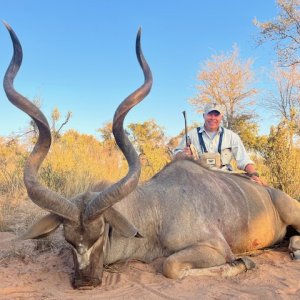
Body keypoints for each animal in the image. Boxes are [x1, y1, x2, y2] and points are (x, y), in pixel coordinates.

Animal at [3, 22, 300, 290]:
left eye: (100, 233)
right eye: (67, 238)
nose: (85, 282)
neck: (157, 209)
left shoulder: (216, 247)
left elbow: (170, 266)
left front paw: (244, 262)